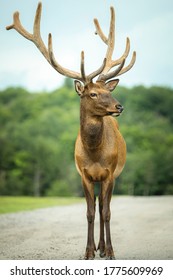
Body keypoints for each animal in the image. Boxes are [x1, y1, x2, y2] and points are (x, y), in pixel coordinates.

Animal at [6, 2, 136, 260]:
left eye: (108, 91)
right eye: (93, 93)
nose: (119, 106)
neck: (94, 153)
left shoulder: (109, 173)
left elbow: (106, 212)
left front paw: (110, 252)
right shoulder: (84, 174)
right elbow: (89, 212)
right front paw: (87, 252)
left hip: (113, 175)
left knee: (105, 206)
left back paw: (104, 248)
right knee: (97, 206)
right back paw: (98, 247)